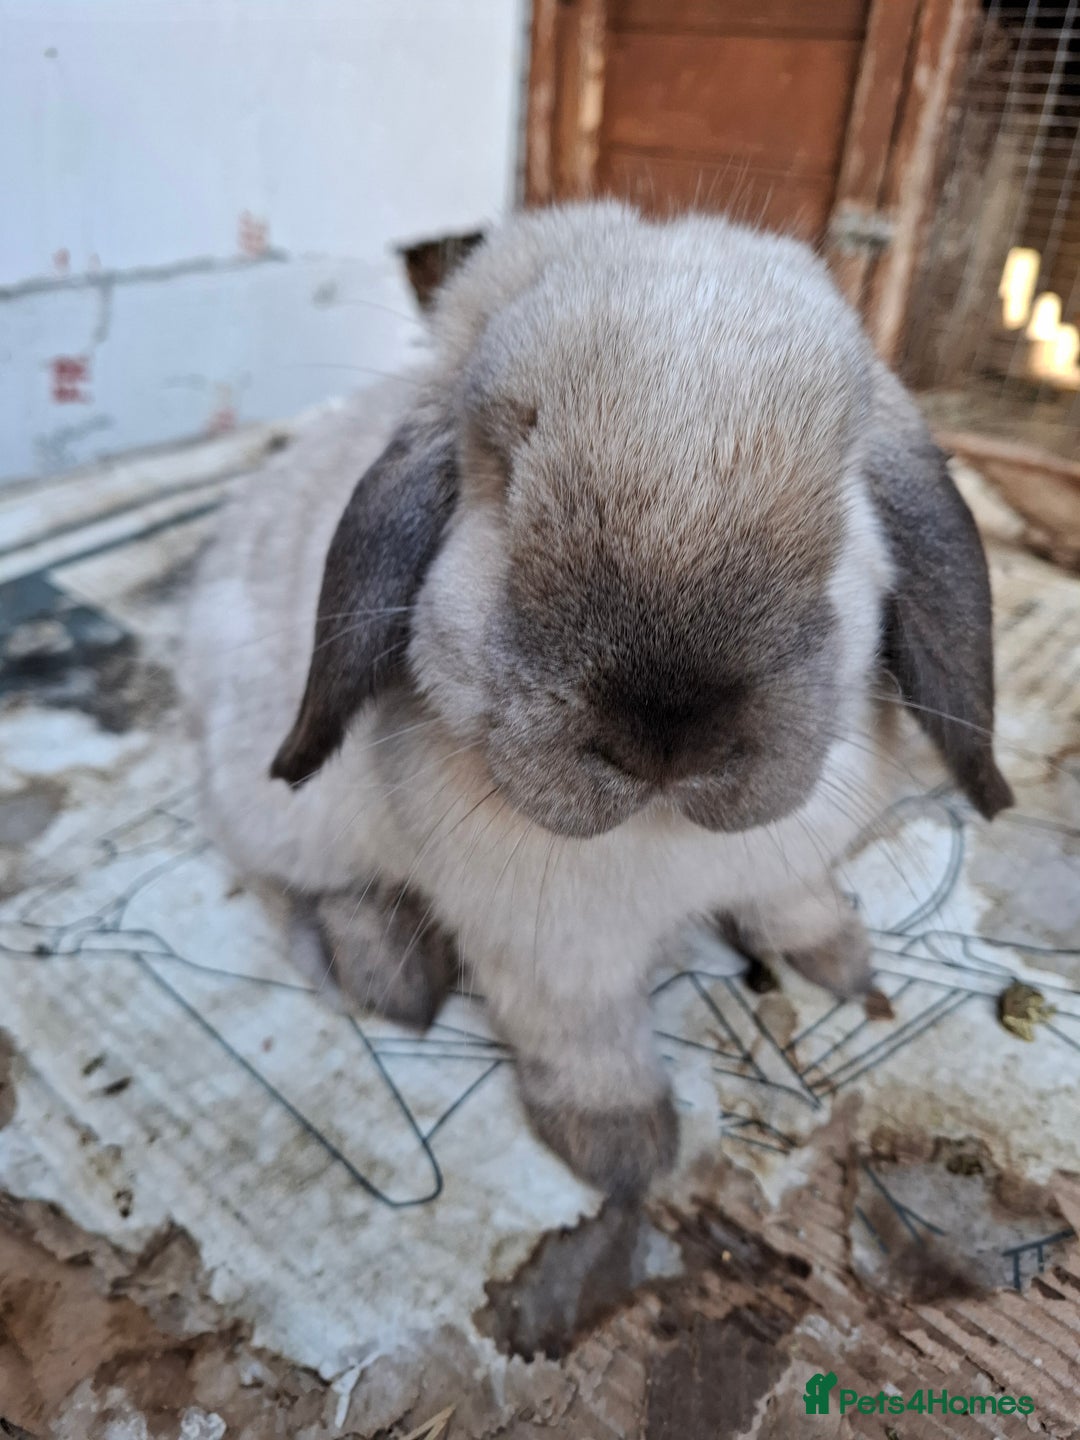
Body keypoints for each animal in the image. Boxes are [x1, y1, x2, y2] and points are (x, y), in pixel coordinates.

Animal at [182, 201, 1012, 1200]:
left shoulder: (787, 861)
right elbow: (589, 1041)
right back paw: (392, 977)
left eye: (841, 500)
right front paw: (623, 1156)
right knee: (298, 886)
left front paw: (844, 964)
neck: (666, 834)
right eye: (504, 475)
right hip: (286, 807)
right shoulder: (555, 953)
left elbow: (796, 903)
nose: (667, 734)